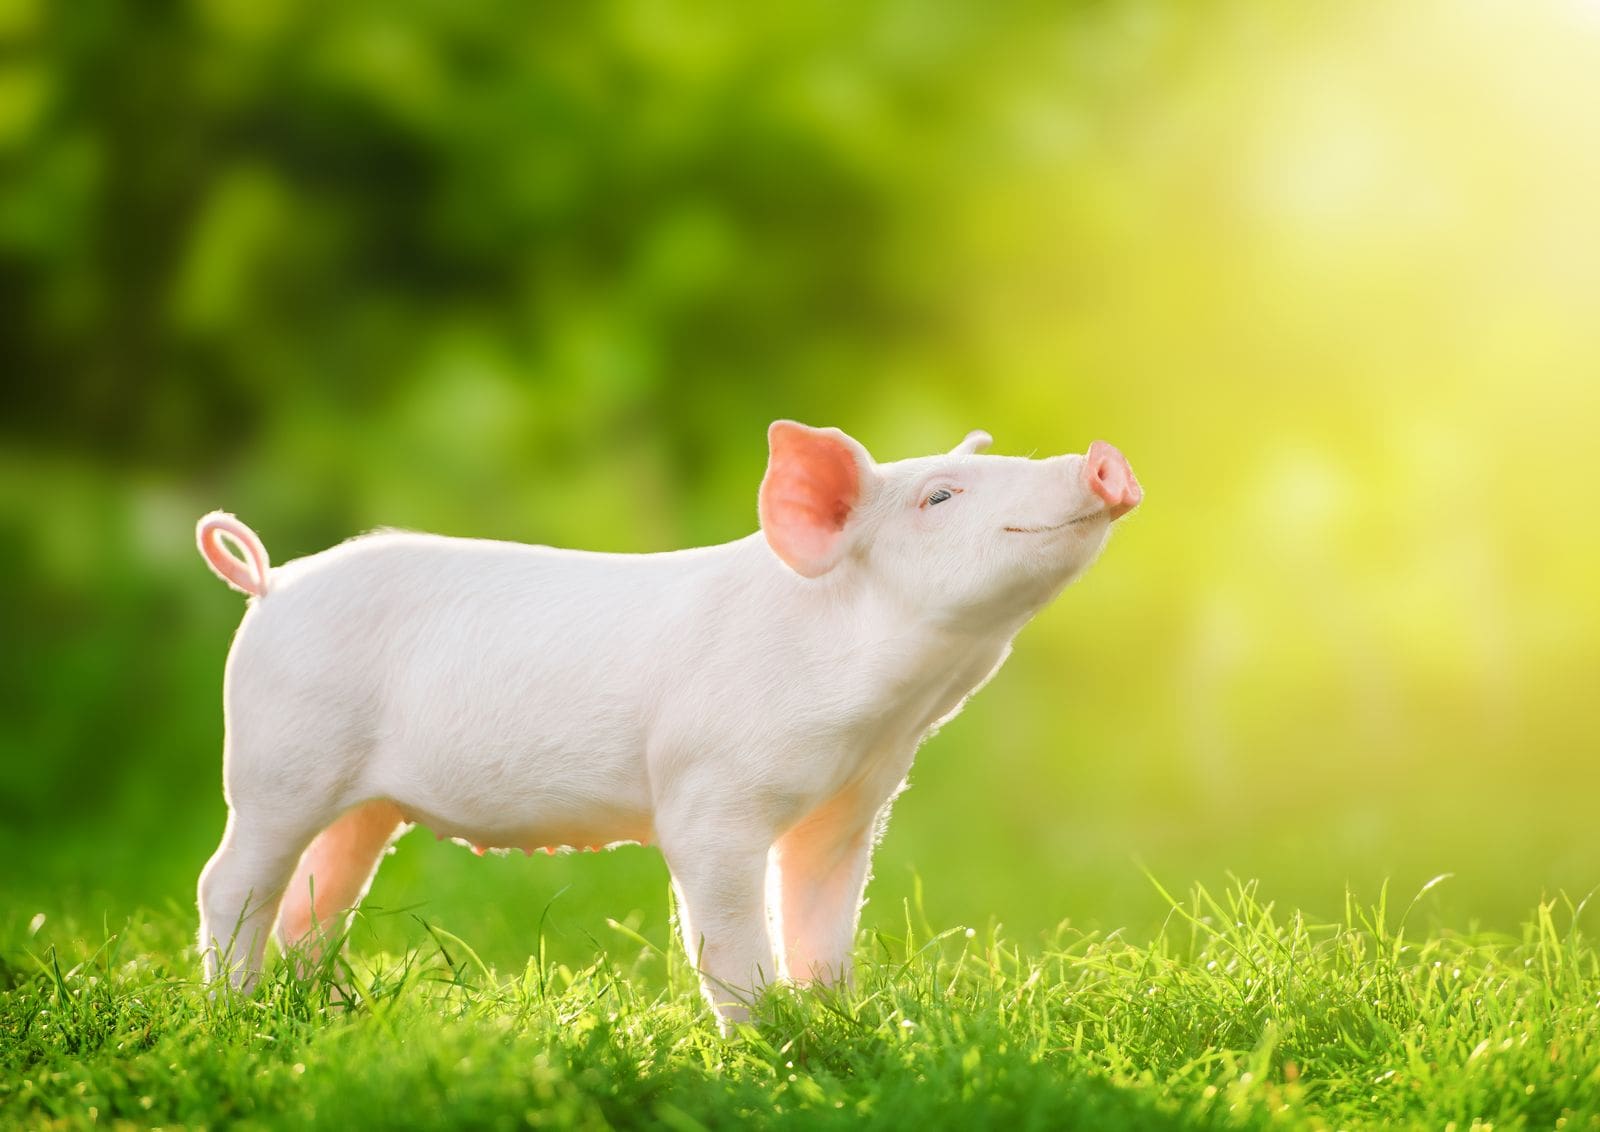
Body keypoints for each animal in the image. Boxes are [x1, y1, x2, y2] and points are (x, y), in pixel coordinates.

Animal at [195, 421, 1141, 1029]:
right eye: (939, 496)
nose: (1104, 459)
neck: (891, 711)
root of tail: (272, 584)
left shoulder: (852, 805)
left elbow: (823, 924)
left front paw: (842, 1024)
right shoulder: (708, 797)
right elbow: (728, 934)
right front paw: (768, 1044)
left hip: (364, 806)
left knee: (316, 899)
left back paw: (323, 1016)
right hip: (277, 763)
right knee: (231, 882)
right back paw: (234, 1016)